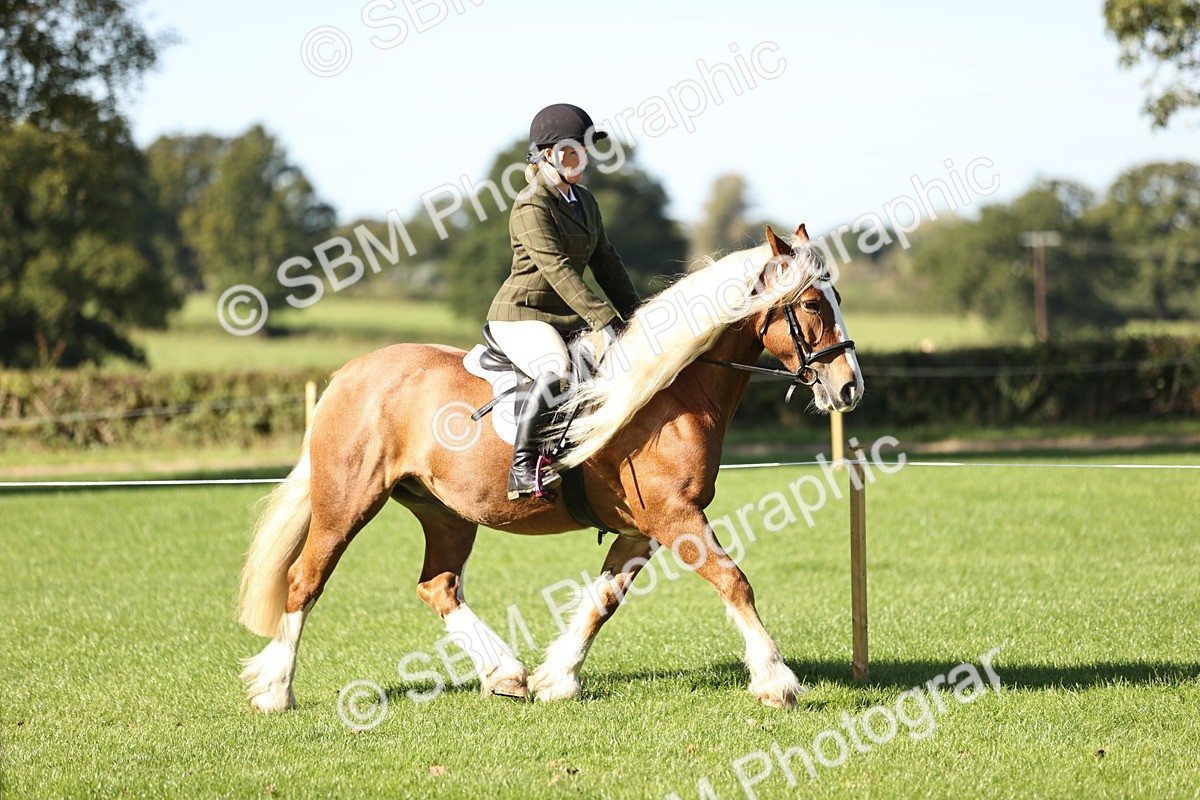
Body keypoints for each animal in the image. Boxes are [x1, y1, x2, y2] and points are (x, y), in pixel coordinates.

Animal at [237, 223, 864, 712]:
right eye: (813, 305)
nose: (849, 387)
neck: (669, 391)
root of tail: (349, 373)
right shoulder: (675, 517)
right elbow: (734, 580)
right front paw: (776, 682)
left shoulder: (642, 529)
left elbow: (602, 602)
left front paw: (557, 679)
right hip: (347, 503)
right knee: (304, 581)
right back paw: (276, 691)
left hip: (445, 514)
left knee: (438, 586)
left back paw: (505, 674)